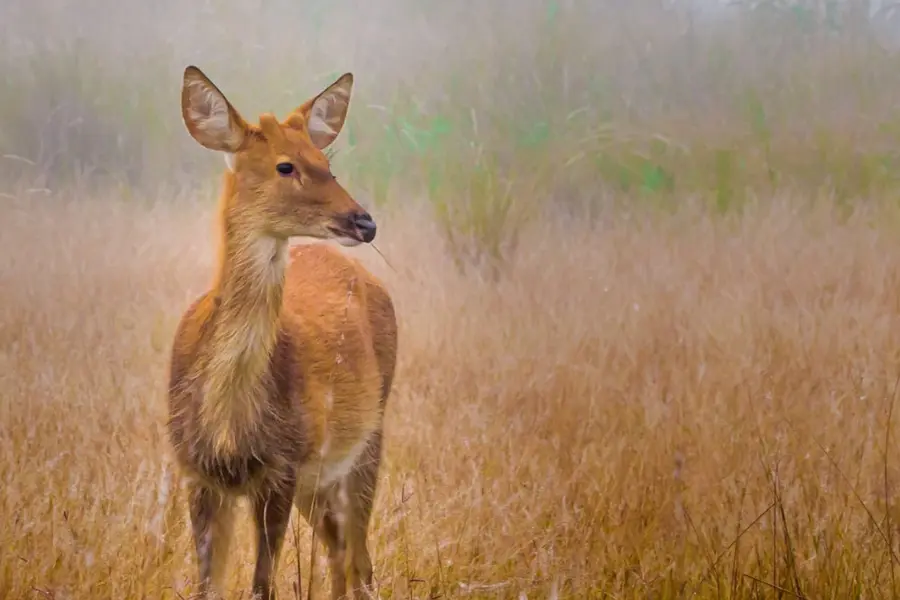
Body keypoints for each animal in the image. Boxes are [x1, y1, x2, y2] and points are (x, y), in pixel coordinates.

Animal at [166, 65, 398, 600]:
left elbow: (261, 584)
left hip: (368, 436)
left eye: (327, 163)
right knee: (339, 550)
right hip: (321, 477)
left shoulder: (282, 466)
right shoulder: (196, 471)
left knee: (360, 557)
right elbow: (209, 585)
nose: (365, 222)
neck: (230, 422)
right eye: (285, 166)